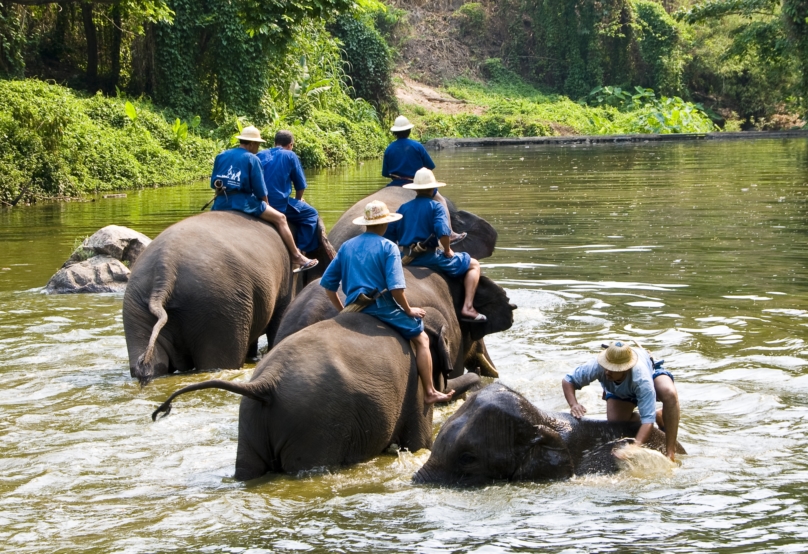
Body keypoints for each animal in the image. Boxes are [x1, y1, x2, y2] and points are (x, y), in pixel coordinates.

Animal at [122, 208, 334, 384]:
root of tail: (165, 270)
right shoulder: (288, 278)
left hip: (136, 307)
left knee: (149, 365)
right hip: (219, 305)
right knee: (219, 360)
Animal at [150, 310, 480, 478]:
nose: (476, 381)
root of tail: (266, 381)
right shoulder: (415, 390)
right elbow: (419, 444)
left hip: (252, 422)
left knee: (247, 470)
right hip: (314, 428)